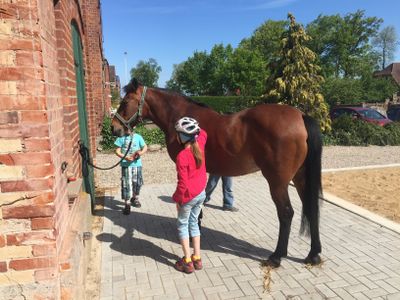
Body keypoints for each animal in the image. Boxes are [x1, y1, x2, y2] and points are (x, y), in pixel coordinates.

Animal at [111, 79, 324, 268]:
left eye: (125, 102)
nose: (114, 128)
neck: (179, 117)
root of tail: (300, 117)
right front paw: (196, 225)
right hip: (300, 178)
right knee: (311, 208)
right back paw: (313, 255)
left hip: (278, 182)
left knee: (286, 213)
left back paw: (277, 257)